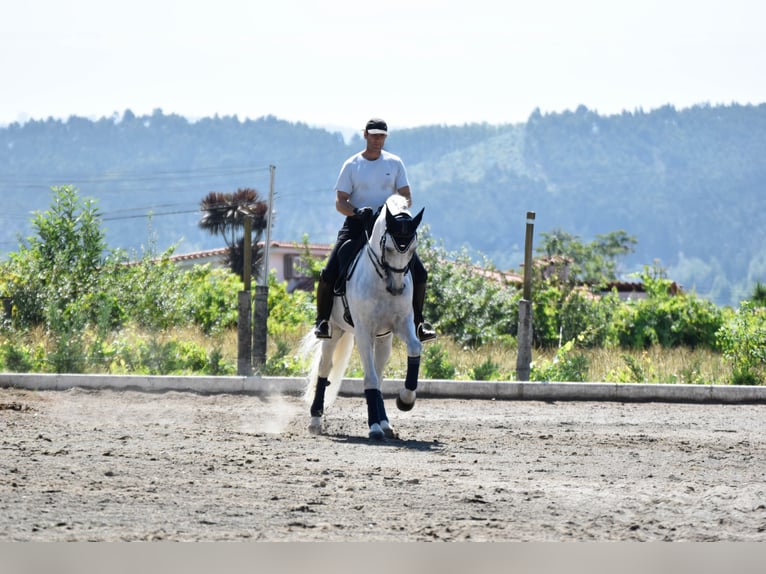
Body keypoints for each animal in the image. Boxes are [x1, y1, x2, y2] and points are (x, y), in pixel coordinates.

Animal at [302, 195, 424, 440]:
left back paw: (386, 424)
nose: (397, 289)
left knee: (379, 373)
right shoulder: (363, 331)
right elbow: (369, 378)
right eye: (389, 248)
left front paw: (405, 401)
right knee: (324, 368)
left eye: (412, 249)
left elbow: (415, 348)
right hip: (335, 330)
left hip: (384, 338)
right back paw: (316, 420)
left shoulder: (402, 324)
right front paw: (374, 427)